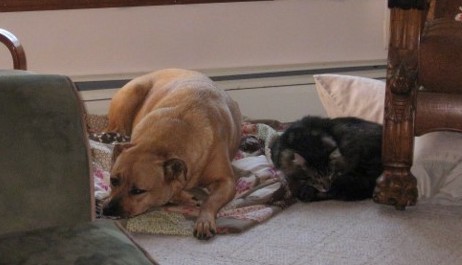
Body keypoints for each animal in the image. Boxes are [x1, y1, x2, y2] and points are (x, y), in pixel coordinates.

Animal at [103, 68, 242, 239]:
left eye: (138, 191)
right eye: (113, 180)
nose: (108, 210)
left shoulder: (227, 182)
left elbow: (210, 201)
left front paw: (204, 220)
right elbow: (172, 193)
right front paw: (185, 197)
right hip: (133, 93)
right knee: (114, 129)